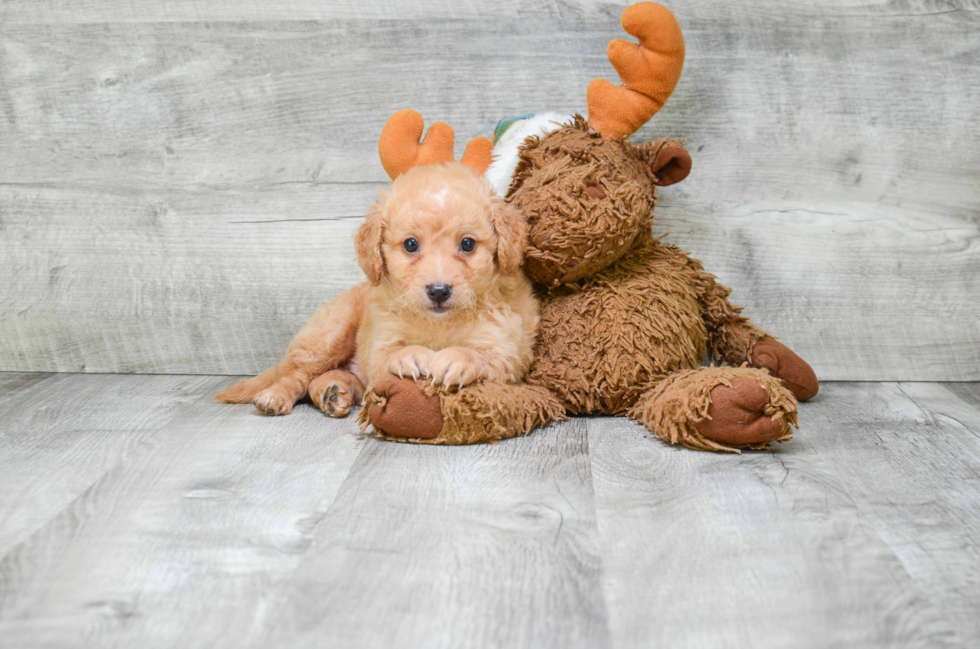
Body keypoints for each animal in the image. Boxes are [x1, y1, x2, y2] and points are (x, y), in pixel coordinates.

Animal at [215, 161, 540, 416]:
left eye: (468, 244)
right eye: (411, 244)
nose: (438, 291)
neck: (439, 323)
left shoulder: (508, 354)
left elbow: (481, 355)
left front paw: (455, 359)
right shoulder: (379, 346)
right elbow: (392, 353)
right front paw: (411, 355)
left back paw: (333, 392)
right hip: (329, 334)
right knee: (298, 374)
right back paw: (277, 396)